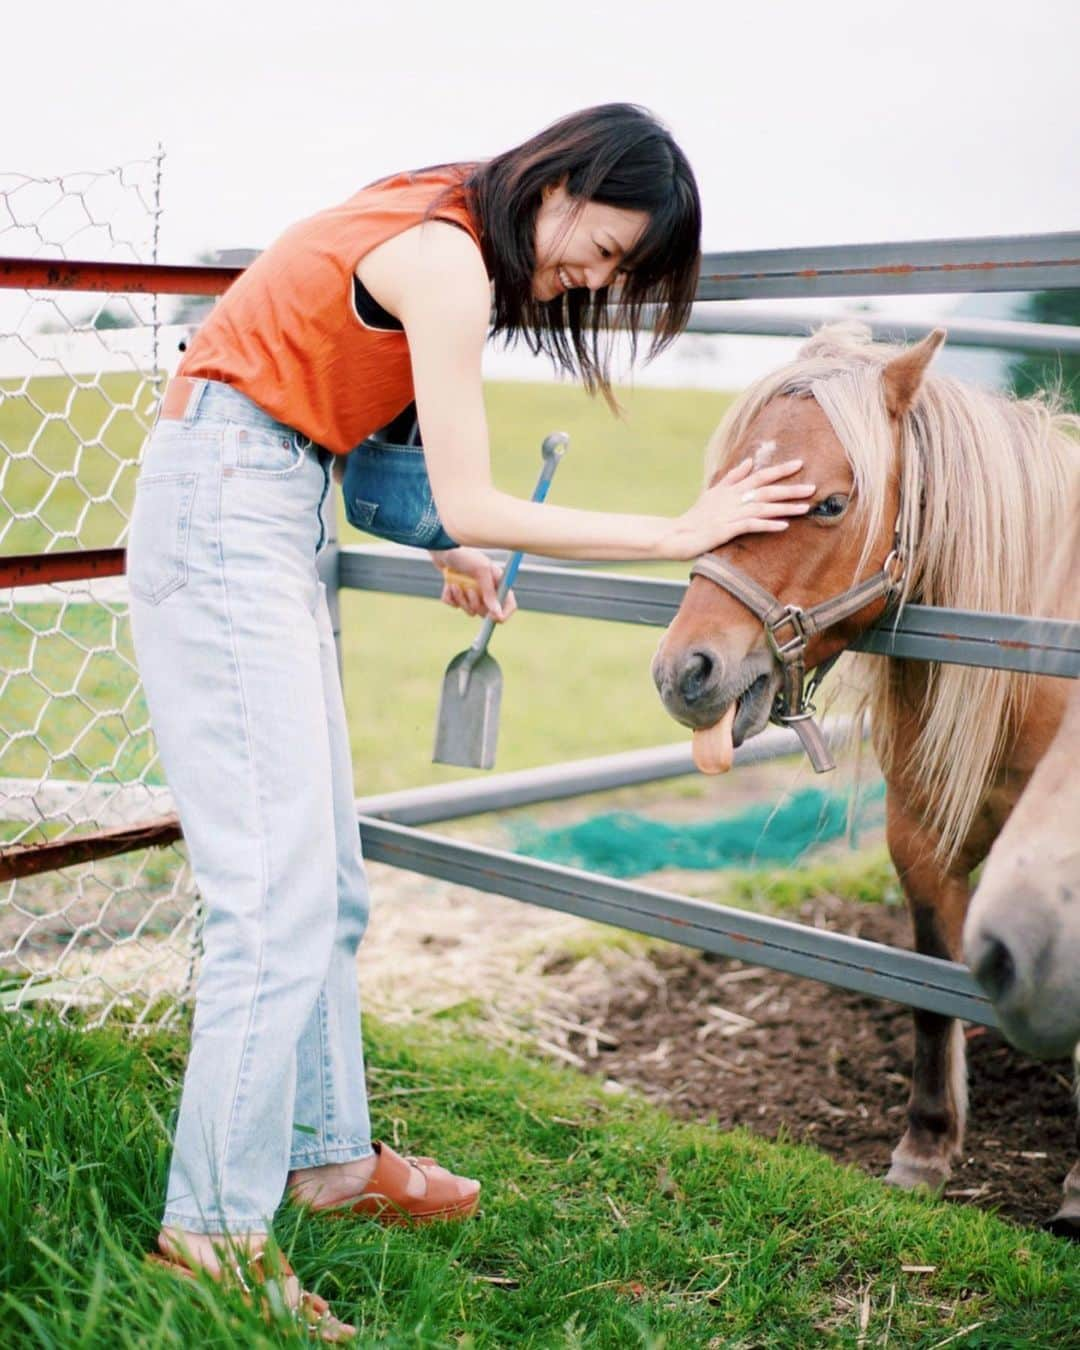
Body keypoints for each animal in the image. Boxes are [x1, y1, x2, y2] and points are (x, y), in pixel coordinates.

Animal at [650, 324, 1080, 1236]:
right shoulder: (921, 837)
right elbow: (927, 986)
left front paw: (1078, 1188)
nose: (684, 672)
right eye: (722, 482)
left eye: (829, 505)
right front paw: (925, 1148)